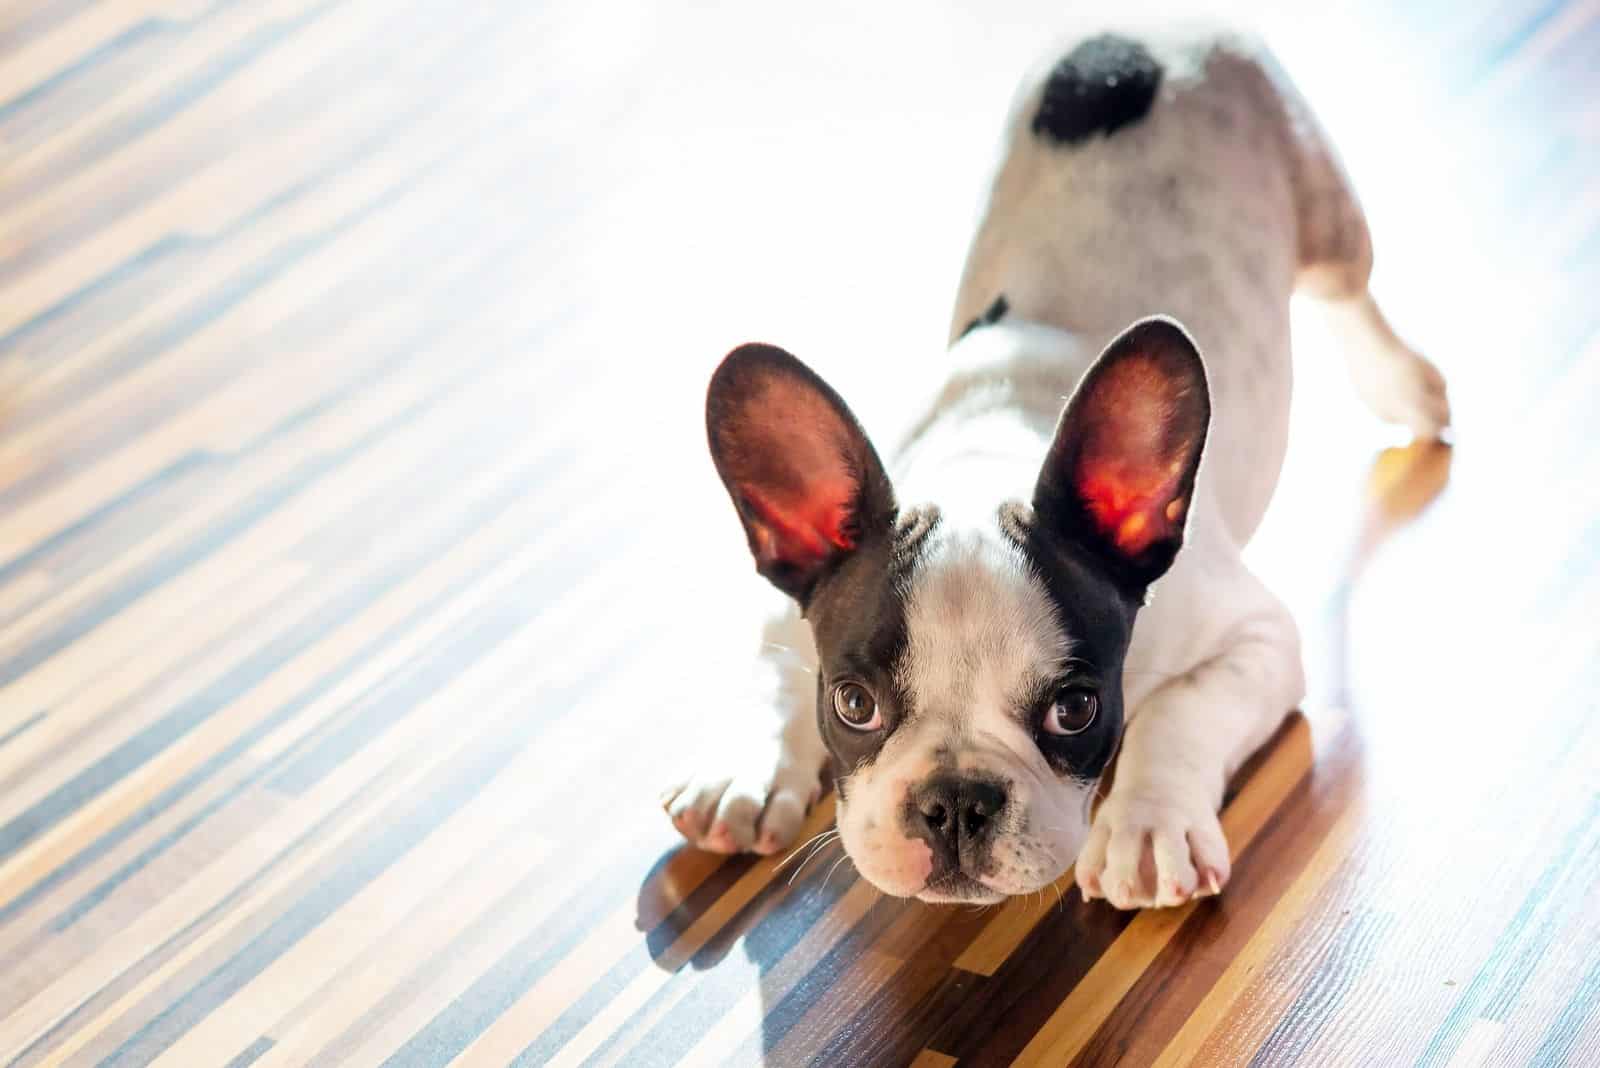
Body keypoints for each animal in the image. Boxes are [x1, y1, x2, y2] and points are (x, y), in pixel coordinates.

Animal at [662, 24, 1452, 908]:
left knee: (1351, 293)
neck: (985, 457)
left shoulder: (1257, 637)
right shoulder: (790, 595)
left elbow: (1178, 711)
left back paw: (1406, 384)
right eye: (853, 703)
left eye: (1076, 709)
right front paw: (748, 770)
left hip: (1322, 202)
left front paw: (1149, 827)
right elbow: (771, 664)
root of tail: (1149, 31)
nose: (955, 800)